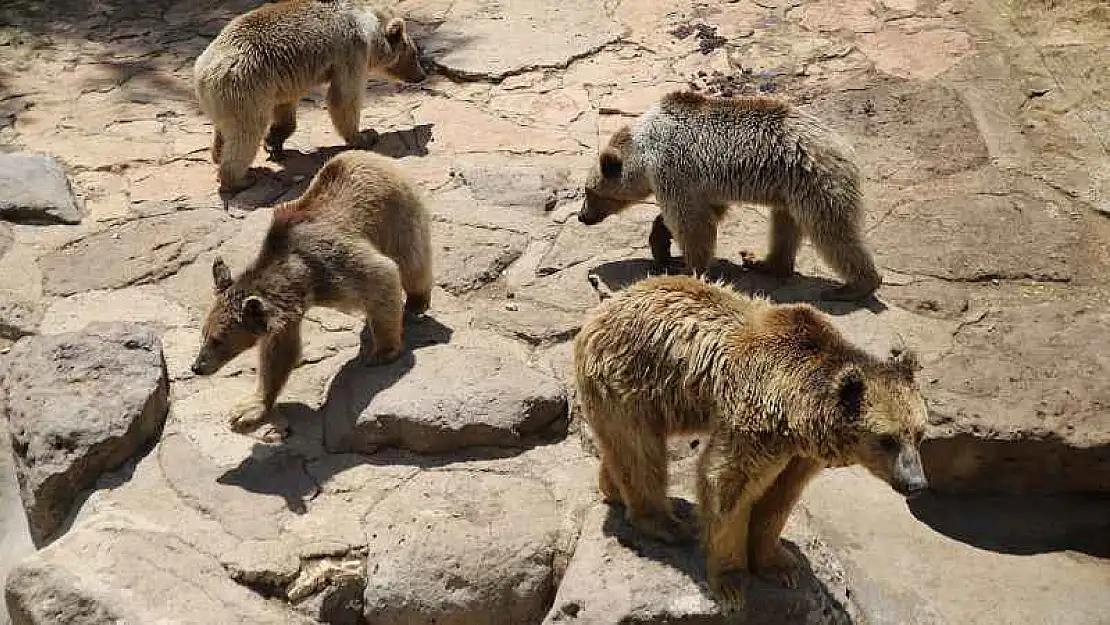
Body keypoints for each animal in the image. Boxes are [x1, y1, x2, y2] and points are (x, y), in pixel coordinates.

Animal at [190, 148, 432, 437]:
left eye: (218, 340)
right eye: (204, 334)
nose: (197, 367)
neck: (304, 281)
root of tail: (374, 156)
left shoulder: (333, 265)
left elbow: (381, 276)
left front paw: (383, 352)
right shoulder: (287, 314)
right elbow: (279, 354)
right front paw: (249, 409)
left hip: (396, 212)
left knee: (411, 261)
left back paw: (417, 302)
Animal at [194, 0, 424, 192]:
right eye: (414, 54)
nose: (422, 75)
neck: (368, 28)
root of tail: (203, 72)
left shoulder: (280, 80)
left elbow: (286, 109)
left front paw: (274, 142)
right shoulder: (351, 52)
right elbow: (344, 97)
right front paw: (366, 135)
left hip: (228, 97)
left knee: (226, 130)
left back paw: (218, 154)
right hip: (245, 86)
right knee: (246, 132)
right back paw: (239, 179)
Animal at [581, 89, 883, 299]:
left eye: (589, 191)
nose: (582, 216)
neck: (643, 154)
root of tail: (844, 147)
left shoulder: (674, 169)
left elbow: (692, 224)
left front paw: (687, 267)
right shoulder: (700, 185)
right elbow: (705, 212)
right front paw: (661, 246)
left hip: (815, 180)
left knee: (831, 231)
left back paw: (854, 286)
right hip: (789, 189)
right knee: (785, 225)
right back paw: (762, 261)